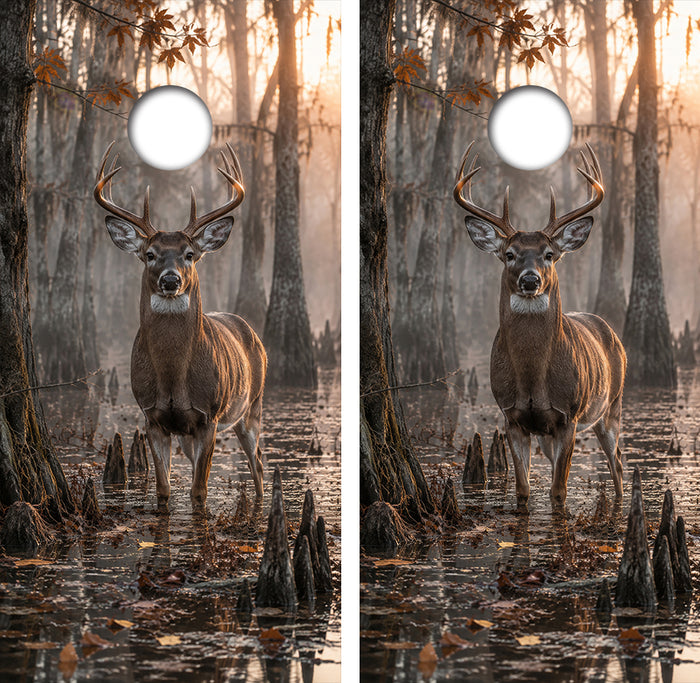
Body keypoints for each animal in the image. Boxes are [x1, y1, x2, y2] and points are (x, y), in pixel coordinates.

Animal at [95, 141, 266, 507]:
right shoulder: (152, 416)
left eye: (189, 254)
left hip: (252, 405)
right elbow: (164, 490)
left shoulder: (209, 416)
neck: (173, 376)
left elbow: (199, 493)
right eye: (149, 254)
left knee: (257, 461)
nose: (170, 280)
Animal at [454, 142, 625, 506]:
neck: (533, 377)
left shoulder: (568, 415)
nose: (530, 280)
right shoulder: (512, 416)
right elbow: (523, 490)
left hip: (611, 405)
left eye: (549, 254)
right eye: (509, 254)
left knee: (617, 461)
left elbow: (558, 492)